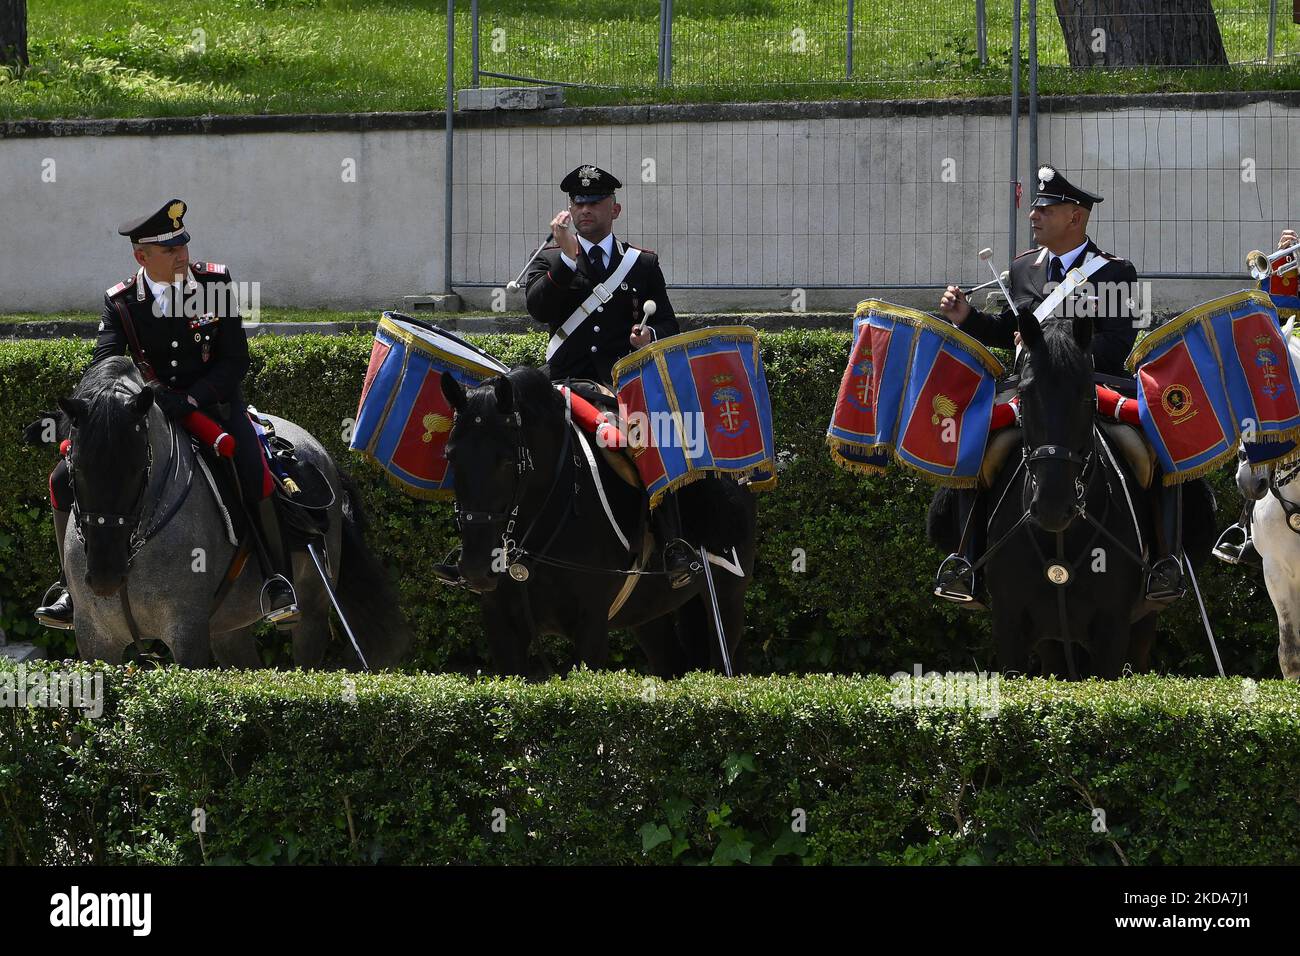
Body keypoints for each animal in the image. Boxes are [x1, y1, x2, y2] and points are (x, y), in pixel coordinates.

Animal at [53, 356, 408, 671]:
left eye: (140, 468)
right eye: (76, 466)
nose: (105, 575)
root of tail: (321, 453)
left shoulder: (188, 633)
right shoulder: (96, 640)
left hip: (313, 611)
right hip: (228, 628)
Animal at [439, 361, 759, 676]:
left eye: (507, 461)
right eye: (450, 456)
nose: (476, 568)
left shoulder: (590, 625)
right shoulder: (502, 626)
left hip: (726, 599)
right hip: (647, 611)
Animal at [930, 310, 1211, 676]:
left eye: (1086, 395)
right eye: (1026, 394)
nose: (1053, 506)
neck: (1059, 540)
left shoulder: (1112, 632)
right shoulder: (1010, 628)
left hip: (1142, 625)